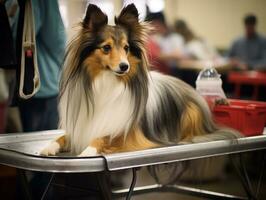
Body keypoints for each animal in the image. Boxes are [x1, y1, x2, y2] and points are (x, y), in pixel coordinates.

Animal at [41, 3, 239, 158]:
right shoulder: (80, 128)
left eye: (126, 48)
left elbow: (102, 137)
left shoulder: (127, 133)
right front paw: (48, 147)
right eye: (106, 48)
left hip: (190, 114)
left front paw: (88, 150)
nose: (124, 66)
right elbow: (62, 137)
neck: (107, 83)